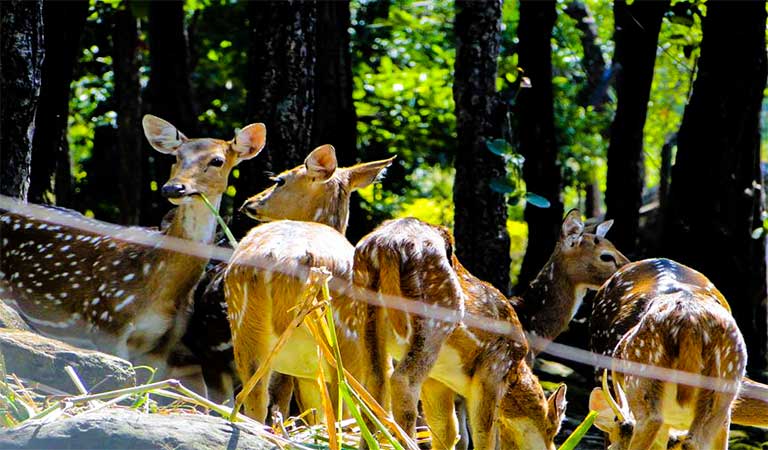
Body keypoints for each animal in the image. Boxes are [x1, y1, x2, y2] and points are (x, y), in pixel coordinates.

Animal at [354, 212, 632, 450]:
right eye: (606, 255)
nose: (628, 267)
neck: (534, 327)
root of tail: (386, 246)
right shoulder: (493, 372)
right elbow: (484, 436)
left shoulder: (446, 384)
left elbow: (452, 434)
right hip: (433, 323)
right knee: (403, 381)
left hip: (367, 318)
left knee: (373, 383)